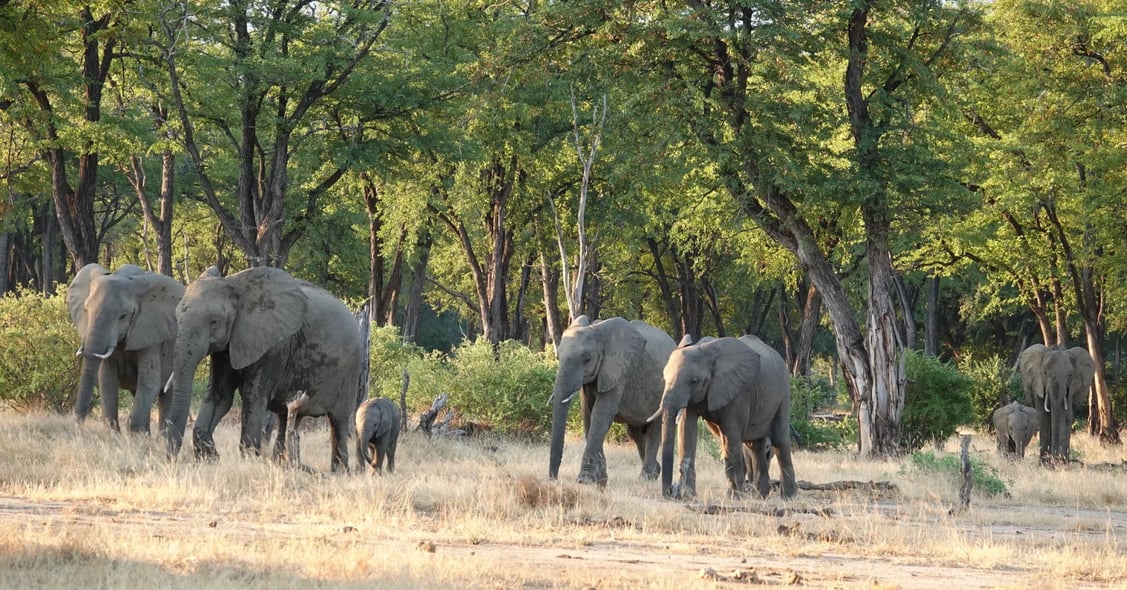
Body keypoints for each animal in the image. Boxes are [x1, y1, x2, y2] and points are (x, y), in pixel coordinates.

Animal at [67, 262, 183, 432]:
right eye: (86, 310)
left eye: (123, 316)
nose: (78, 424)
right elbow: (107, 381)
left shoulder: (150, 336)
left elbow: (149, 384)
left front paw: (135, 435)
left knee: (166, 396)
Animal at [164, 264, 360, 472]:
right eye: (177, 318)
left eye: (214, 321)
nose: (172, 460)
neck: (236, 286)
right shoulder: (225, 349)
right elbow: (220, 395)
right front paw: (212, 459)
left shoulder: (272, 347)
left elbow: (253, 397)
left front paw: (247, 462)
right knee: (287, 417)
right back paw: (284, 463)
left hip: (349, 372)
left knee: (338, 421)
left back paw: (340, 471)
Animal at [547, 315, 671, 486]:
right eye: (558, 358)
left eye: (587, 359)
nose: (553, 479)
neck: (597, 331)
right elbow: (588, 415)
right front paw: (600, 480)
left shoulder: (618, 371)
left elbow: (601, 414)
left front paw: (586, 481)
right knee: (635, 432)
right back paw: (655, 471)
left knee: (654, 429)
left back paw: (648, 477)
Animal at [649, 333, 797, 499]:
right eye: (664, 378)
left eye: (694, 381)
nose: (670, 492)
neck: (705, 351)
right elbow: (686, 431)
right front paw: (688, 495)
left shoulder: (738, 392)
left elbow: (730, 435)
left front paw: (734, 497)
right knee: (755, 446)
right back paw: (760, 496)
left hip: (783, 394)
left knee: (780, 441)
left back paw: (787, 496)